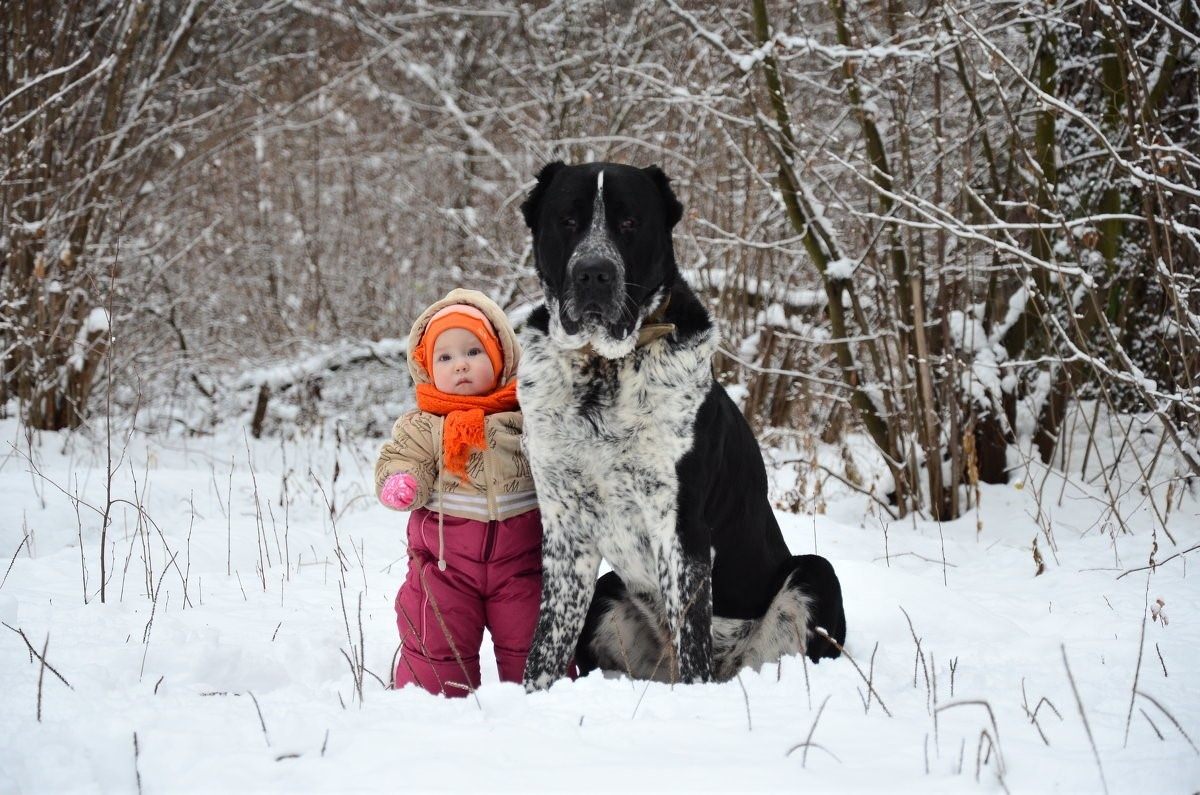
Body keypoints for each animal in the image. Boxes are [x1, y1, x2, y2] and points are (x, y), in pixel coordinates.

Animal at [516, 162, 844, 691]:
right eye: (567, 220)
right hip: (607, 590)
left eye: (630, 222)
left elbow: (692, 635)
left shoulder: (681, 526)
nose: (594, 273)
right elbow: (546, 641)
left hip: (816, 574)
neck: (602, 373)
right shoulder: (566, 526)